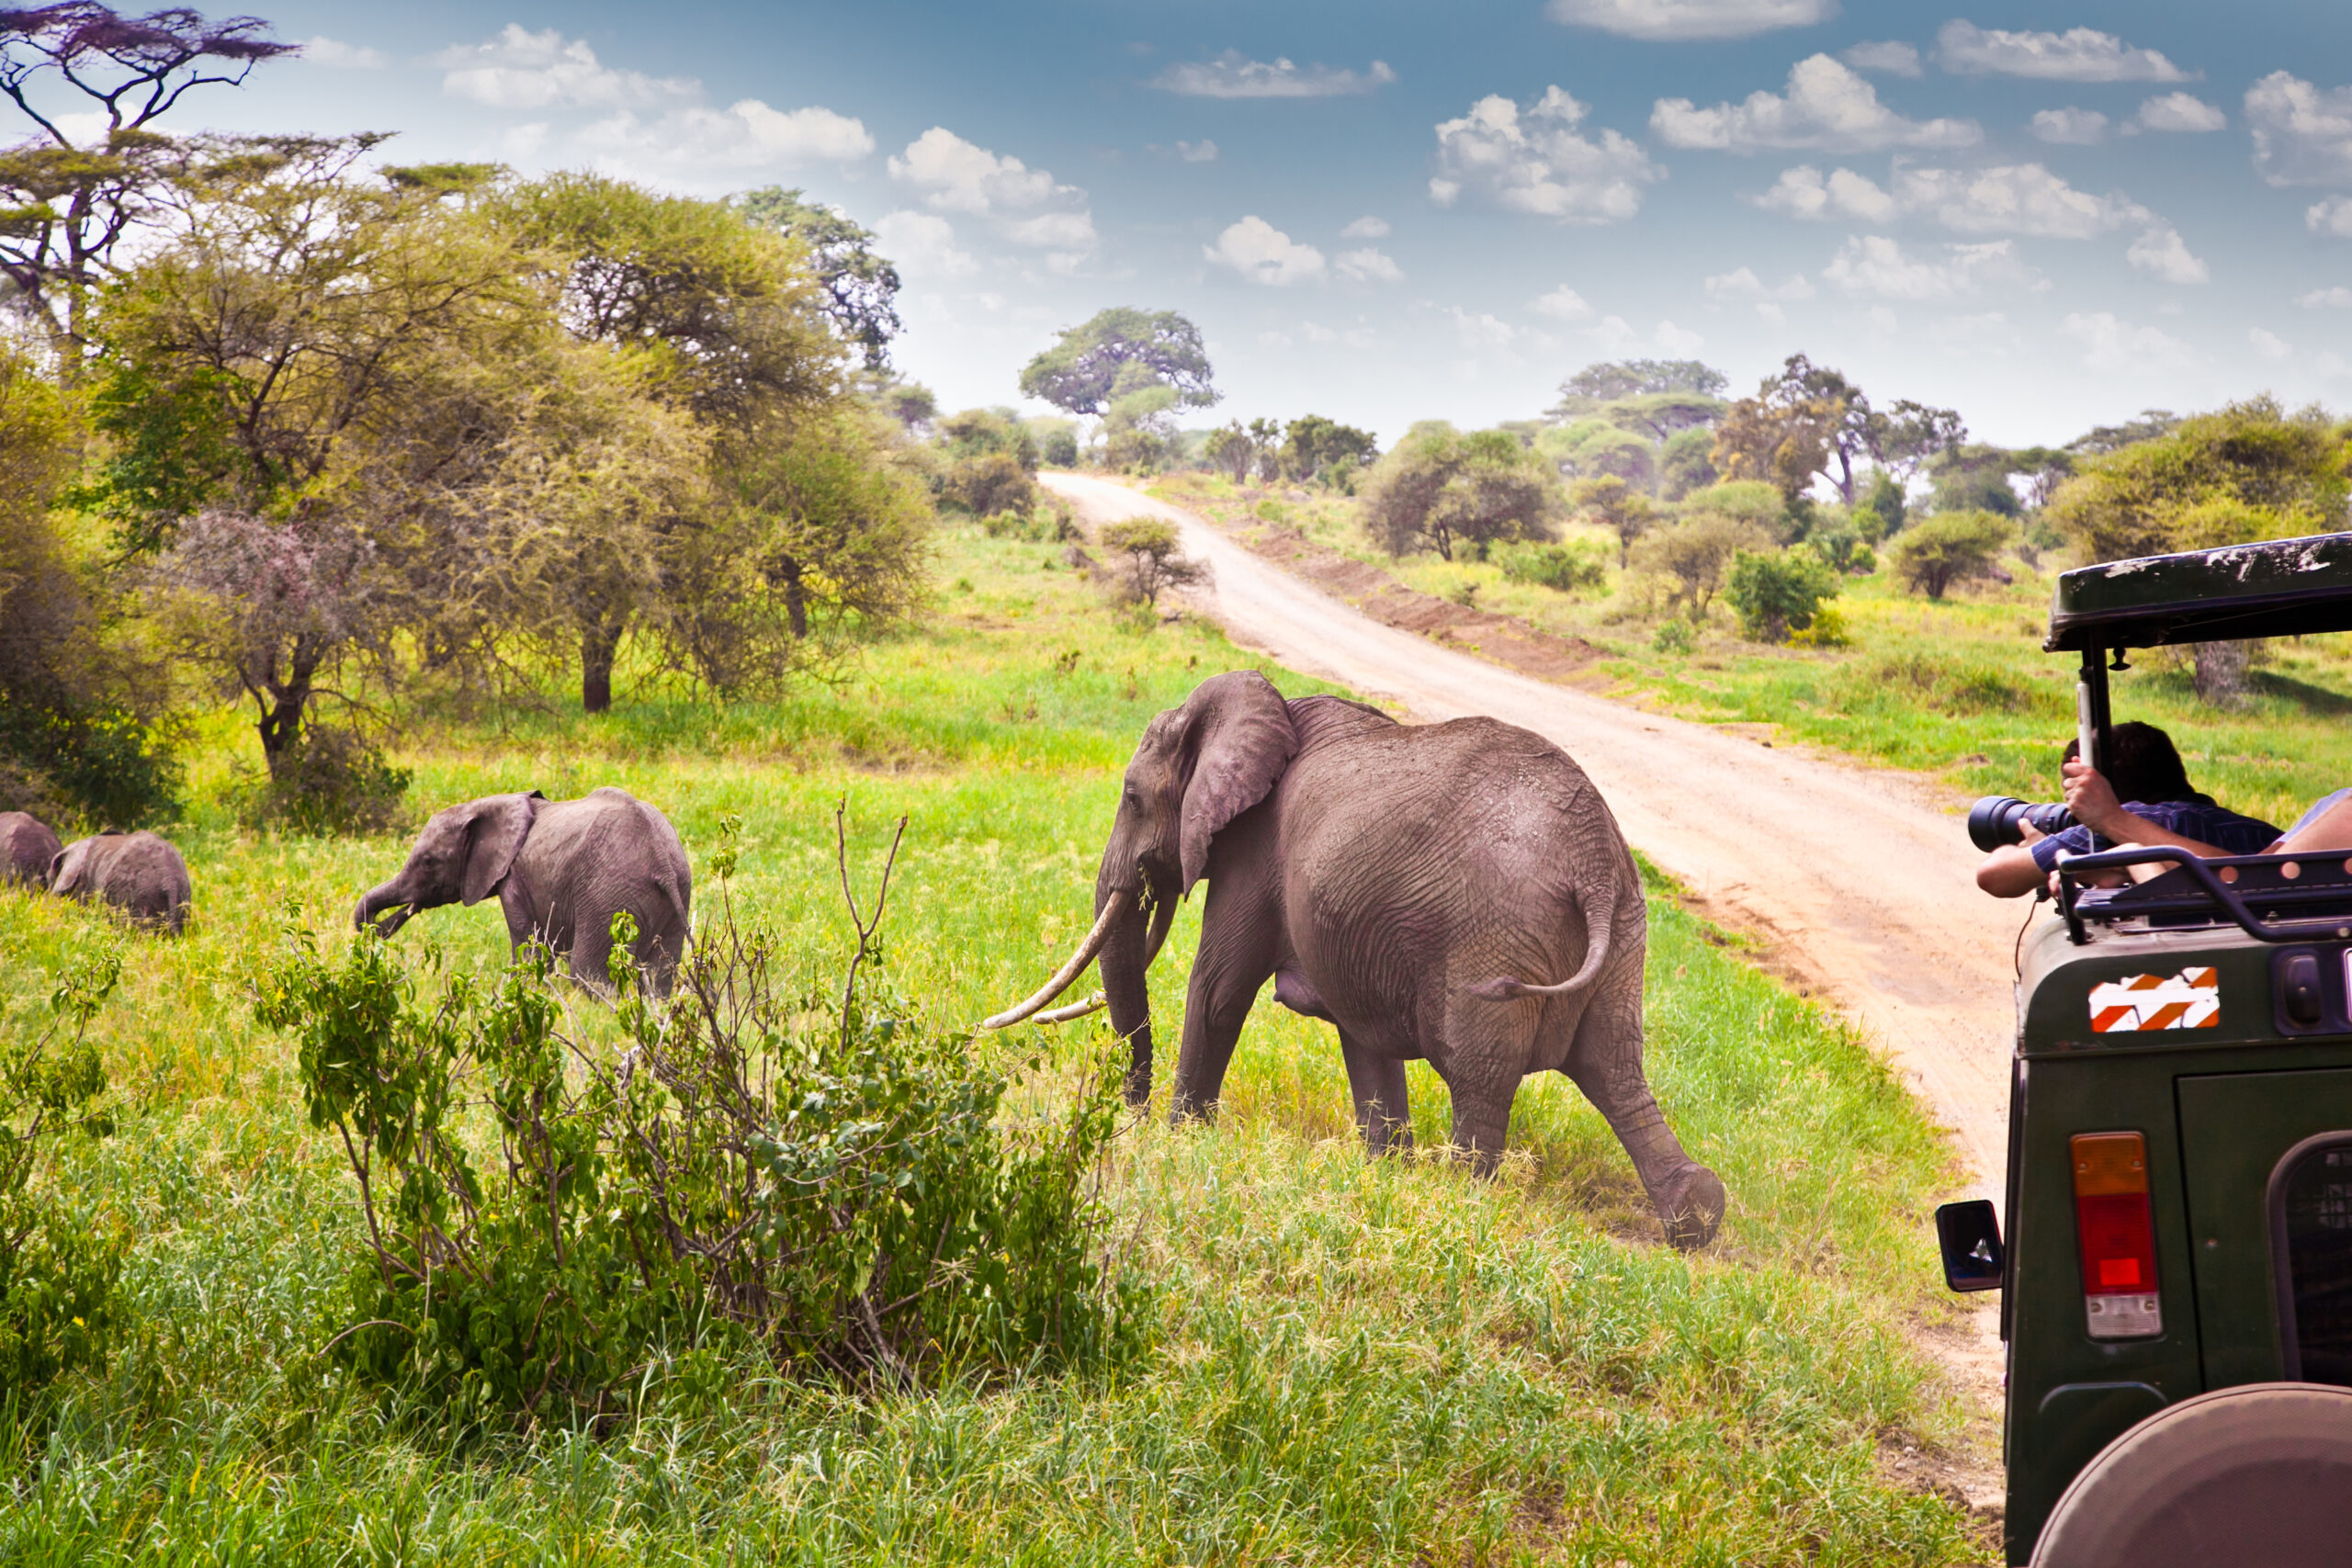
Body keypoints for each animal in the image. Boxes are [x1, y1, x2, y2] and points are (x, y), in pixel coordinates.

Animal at [353, 789, 691, 1001]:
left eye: (428, 862)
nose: (376, 928)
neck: (497, 802)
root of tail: (661, 861)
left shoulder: (514, 880)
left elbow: (529, 947)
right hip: (673, 893)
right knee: (660, 978)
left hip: (608, 896)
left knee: (588, 974)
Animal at [992, 671, 1731, 1250]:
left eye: (1132, 798)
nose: (1132, 1118)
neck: (1261, 708)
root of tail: (1593, 864)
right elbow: (1362, 1039)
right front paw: (1385, 1171)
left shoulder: (1254, 852)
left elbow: (1218, 991)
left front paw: (1181, 1142)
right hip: (1626, 933)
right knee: (1615, 1069)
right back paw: (1695, 1216)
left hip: (1496, 936)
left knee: (1483, 1076)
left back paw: (1461, 1199)